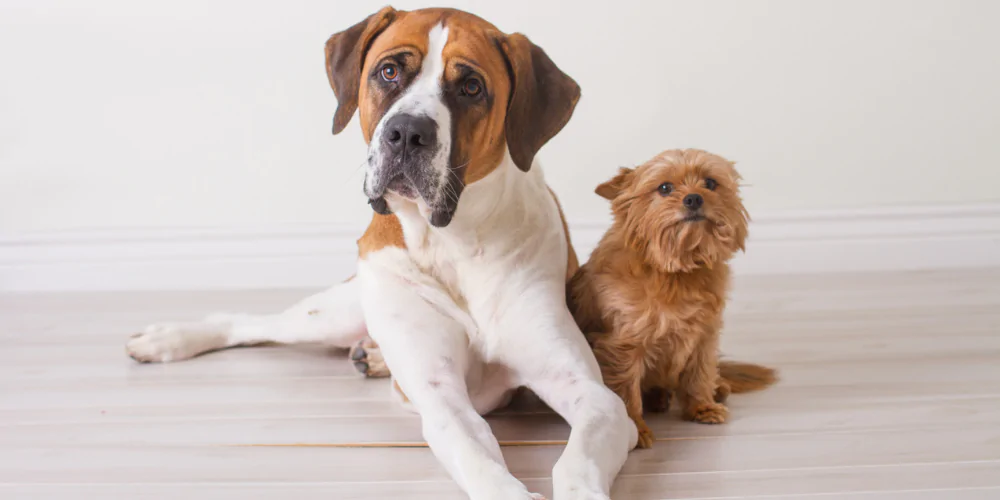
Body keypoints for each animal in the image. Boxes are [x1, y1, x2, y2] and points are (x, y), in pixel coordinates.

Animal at [125, 7, 636, 500]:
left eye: (471, 87)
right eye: (389, 71)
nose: (407, 131)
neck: (453, 242)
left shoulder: (596, 398)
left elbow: (576, 458)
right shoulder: (444, 399)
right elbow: (478, 458)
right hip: (334, 312)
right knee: (250, 323)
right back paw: (168, 338)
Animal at [568, 149, 776, 450]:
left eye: (710, 183)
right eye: (665, 188)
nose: (694, 198)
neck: (676, 270)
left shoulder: (704, 336)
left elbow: (698, 375)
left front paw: (701, 406)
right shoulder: (623, 347)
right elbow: (626, 389)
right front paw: (635, 429)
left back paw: (716, 388)